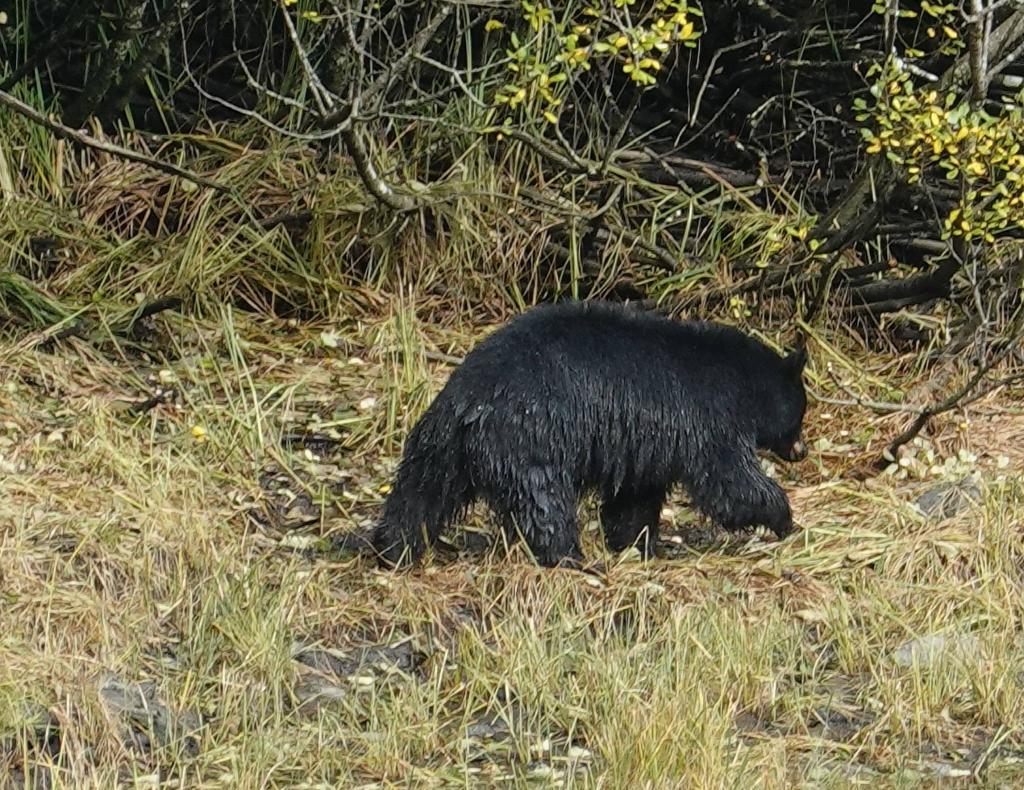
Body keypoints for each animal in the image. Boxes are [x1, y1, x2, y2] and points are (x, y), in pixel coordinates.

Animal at [370, 301, 806, 569]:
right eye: (801, 411)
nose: (801, 451)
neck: (742, 383)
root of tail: (469, 402)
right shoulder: (707, 419)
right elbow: (728, 483)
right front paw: (783, 517)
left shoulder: (648, 443)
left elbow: (634, 498)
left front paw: (639, 543)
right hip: (529, 439)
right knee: (543, 503)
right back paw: (569, 557)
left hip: (439, 445)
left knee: (420, 493)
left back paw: (393, 547)